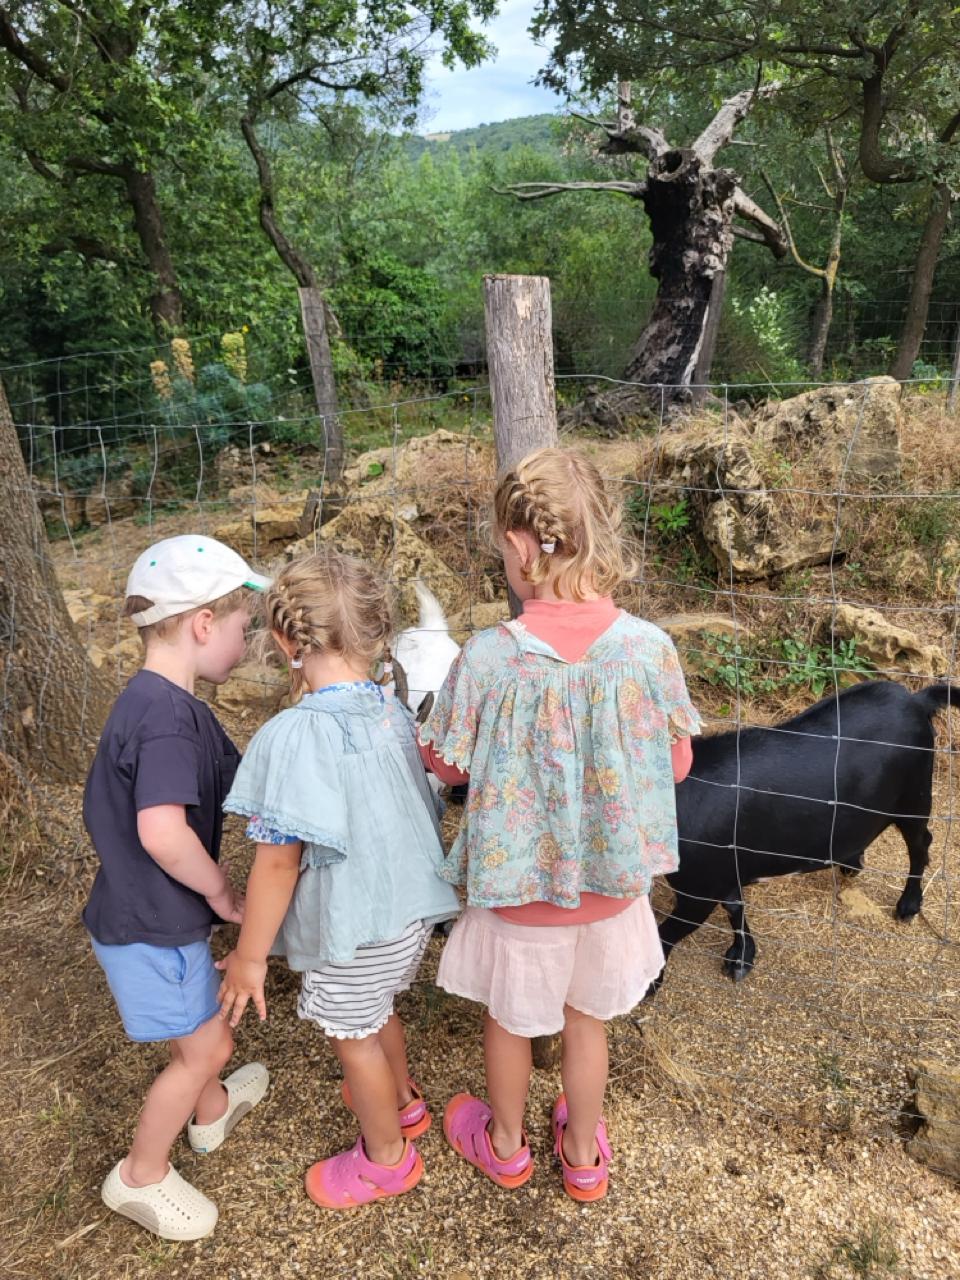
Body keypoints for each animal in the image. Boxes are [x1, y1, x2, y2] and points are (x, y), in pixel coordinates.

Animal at [665, 686, 957, 983]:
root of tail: (917, 700)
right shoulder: (723, 873)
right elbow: (734, 907)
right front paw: (742, 958)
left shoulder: (699, 890)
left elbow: (669, 932)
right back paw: (851, 862)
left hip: (914, 797)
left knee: (920, 844)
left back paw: (908, 905)